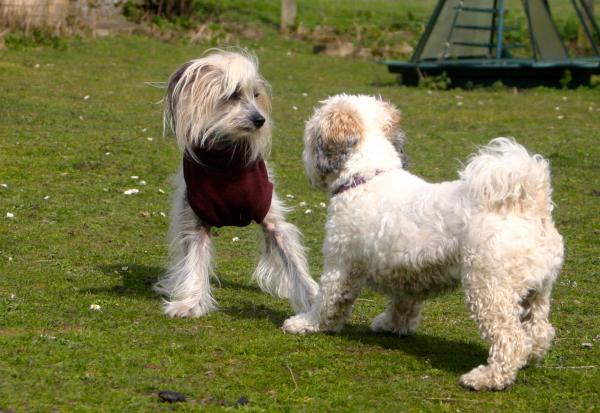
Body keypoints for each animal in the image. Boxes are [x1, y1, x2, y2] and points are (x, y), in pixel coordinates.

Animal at [154, 50, 318, 318]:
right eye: (233, 95)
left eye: (256, 95)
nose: (260, 120)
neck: (226, 164)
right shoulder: (196, 222)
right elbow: (195, 264)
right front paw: (190, 303)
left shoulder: (272, 221)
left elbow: (293, 261)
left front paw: (314, 300)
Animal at [282, 94, 564, 391]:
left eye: (310, 135)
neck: (367, 176)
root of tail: (529, 203)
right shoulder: (408, 269)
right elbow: (403, 303)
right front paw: (392, 325)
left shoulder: (340, 265)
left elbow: (327, 301)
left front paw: (307, 323)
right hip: (537, 292)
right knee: (540, 331)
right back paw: (531, 356)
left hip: (489, 289)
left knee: (511, 339)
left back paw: (486, 377)